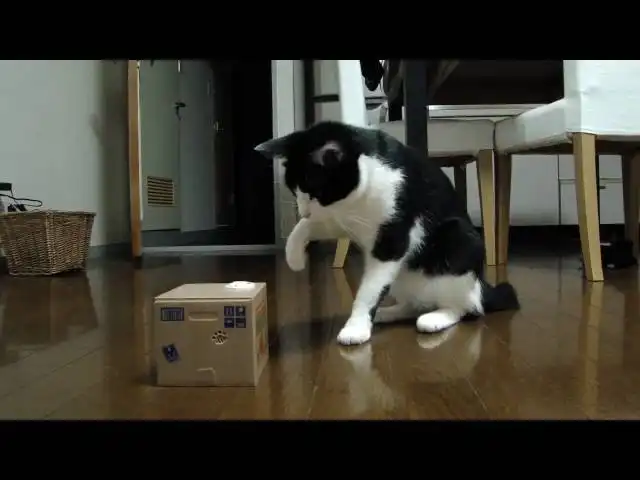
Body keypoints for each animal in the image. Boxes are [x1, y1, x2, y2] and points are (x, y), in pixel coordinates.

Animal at [255, 120, 520, 346]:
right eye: (294, 190)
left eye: (314, 190)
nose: (304, 210)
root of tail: (482, 285)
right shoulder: (341, 219)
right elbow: (307, 227)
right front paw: (295, 257)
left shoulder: (392, 237)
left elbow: (369, 289)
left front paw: (356, 327)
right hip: (404, 281)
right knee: (415, 304)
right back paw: (388, 312)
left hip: (460, 239)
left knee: (468, 307)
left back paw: (436, 318)